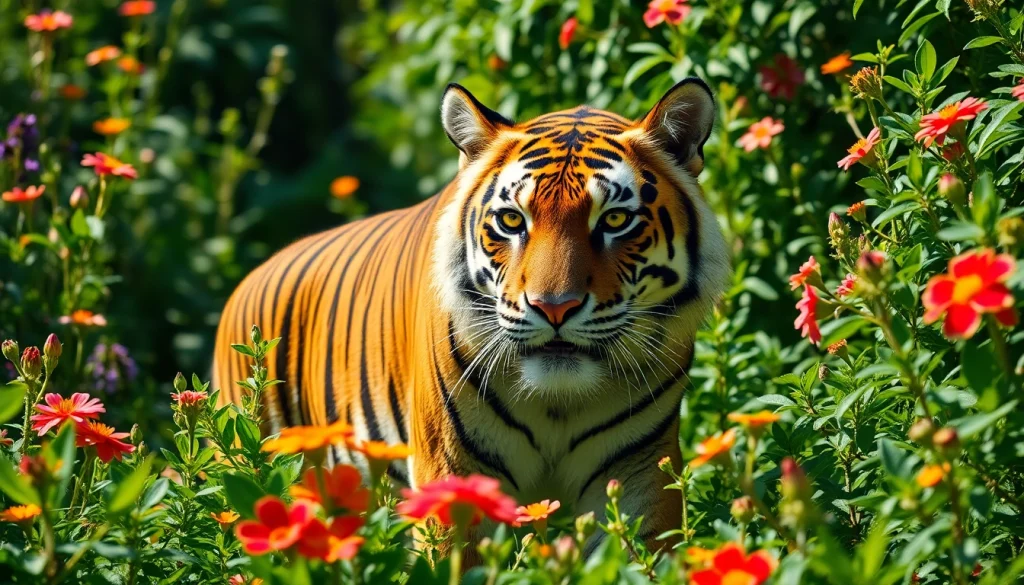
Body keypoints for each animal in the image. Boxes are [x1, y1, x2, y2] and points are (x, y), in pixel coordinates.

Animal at [212, 78, 729, 551]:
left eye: (615, 220)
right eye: (513, 220)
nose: (553, 307)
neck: (558, 404)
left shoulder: (639, 474)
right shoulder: (451, 470)